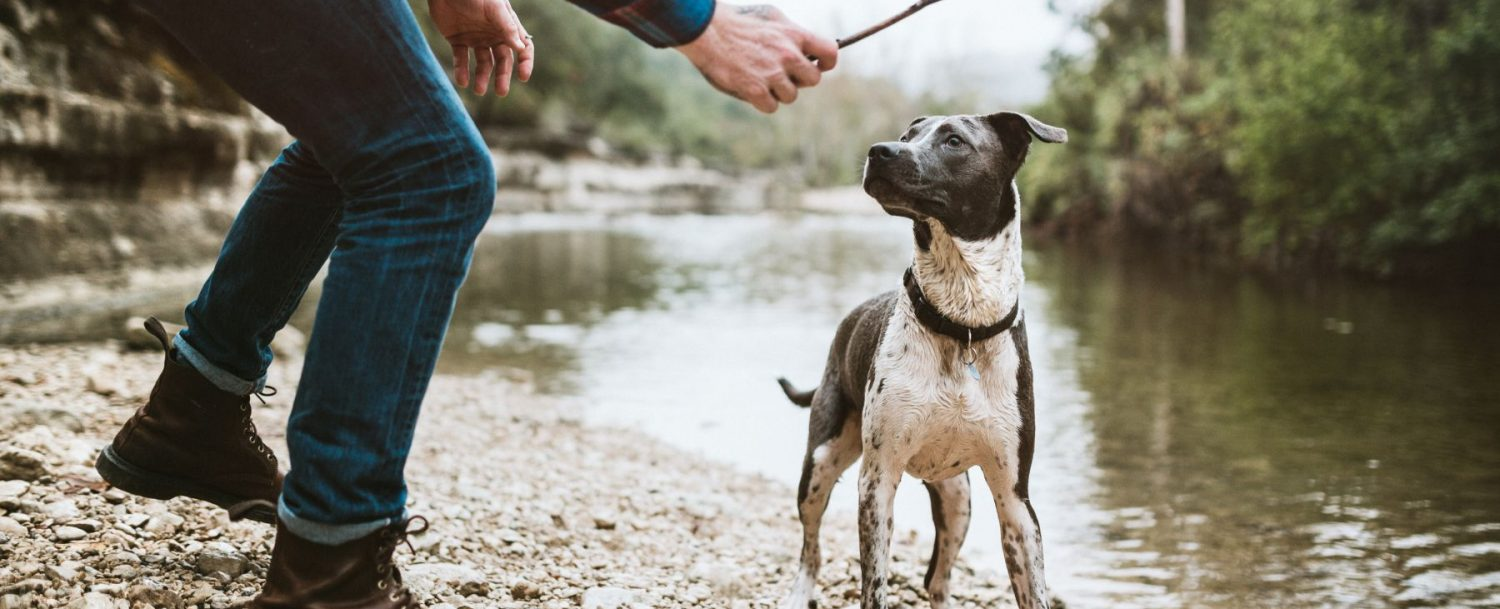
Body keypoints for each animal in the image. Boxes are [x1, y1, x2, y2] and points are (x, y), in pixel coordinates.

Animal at [780, 110, 1062, 609]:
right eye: (907, 135)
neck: (961, 323)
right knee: (810, 547)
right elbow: (874, 584)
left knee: (938, 578)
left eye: (954, 141)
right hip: (820, 464)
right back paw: (799, 592)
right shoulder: (877, 482)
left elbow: (1033, 590)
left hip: (957, 502)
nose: (880, 151)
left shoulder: (1015, 499)